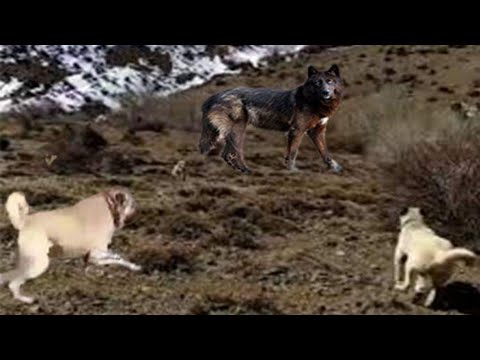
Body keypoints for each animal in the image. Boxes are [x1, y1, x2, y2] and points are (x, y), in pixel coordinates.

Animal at [0, 188, 142, 304]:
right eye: (132, 204)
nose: (138, 210)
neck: (109, 206)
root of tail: (24, 221)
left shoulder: (92, 258)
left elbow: (119, 260)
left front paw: (134, 267)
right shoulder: (97, 252)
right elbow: (117, 256)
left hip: (28, 263)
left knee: (7, 277)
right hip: (39, 264)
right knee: (13, 283)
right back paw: (26, 299)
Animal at [200, 64, 344, 174]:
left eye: (330, 81)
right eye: (317, 82)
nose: (326, 92)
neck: (313, 101)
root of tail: (215, 95)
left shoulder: (317, 131)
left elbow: (325, 152)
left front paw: (335, 168)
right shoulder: (296, 131)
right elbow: (293, 153)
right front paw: (292, 172)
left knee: (227, 154)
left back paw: (243, 171)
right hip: (238, 129)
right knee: (231, 153)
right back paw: (247, 171)